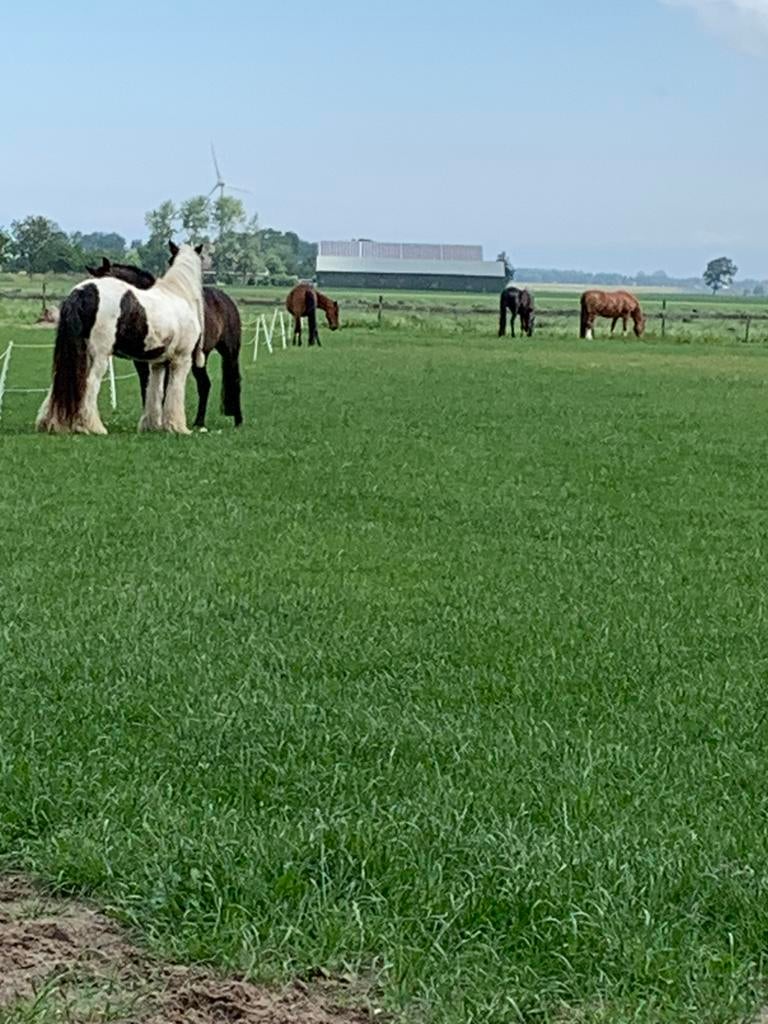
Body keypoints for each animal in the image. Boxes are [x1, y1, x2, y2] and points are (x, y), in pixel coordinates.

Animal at [36, 243, 204, 435]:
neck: (178, 293)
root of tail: (82, 292)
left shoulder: (157, 363)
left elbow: (154, 390)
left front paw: (152, 425)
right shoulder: (181, 360)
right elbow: (175, 392)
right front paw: (178, 427)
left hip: (75, 355)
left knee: (59, 384)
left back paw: (51, 423)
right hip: (98, 357)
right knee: (89, 384)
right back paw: (93, 427)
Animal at [86, 249, 243, 428]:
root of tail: (226, 300)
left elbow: (164, 388)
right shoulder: (142, 362)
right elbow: (146, 388)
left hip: (230, 352)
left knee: (234, 380)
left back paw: (237, 421)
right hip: (200, 357)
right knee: (205, 384)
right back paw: (199, 422)